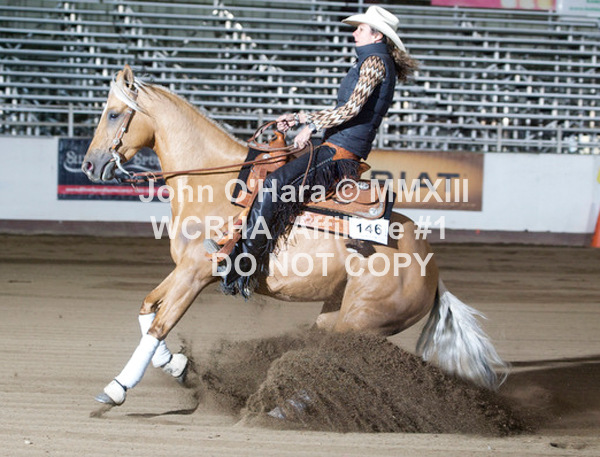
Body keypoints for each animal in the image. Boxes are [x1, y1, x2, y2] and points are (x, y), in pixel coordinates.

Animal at [82, 65, 507, 406]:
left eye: (114, 113)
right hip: (337, 313)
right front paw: (177, 366)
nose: (89, 164)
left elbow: (158, 325)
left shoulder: (196, 273)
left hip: (359, 322)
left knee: (330, 361)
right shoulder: (184, 269)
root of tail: (432, 271)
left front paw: (116, 389)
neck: (216, 184)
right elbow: (146, 308)